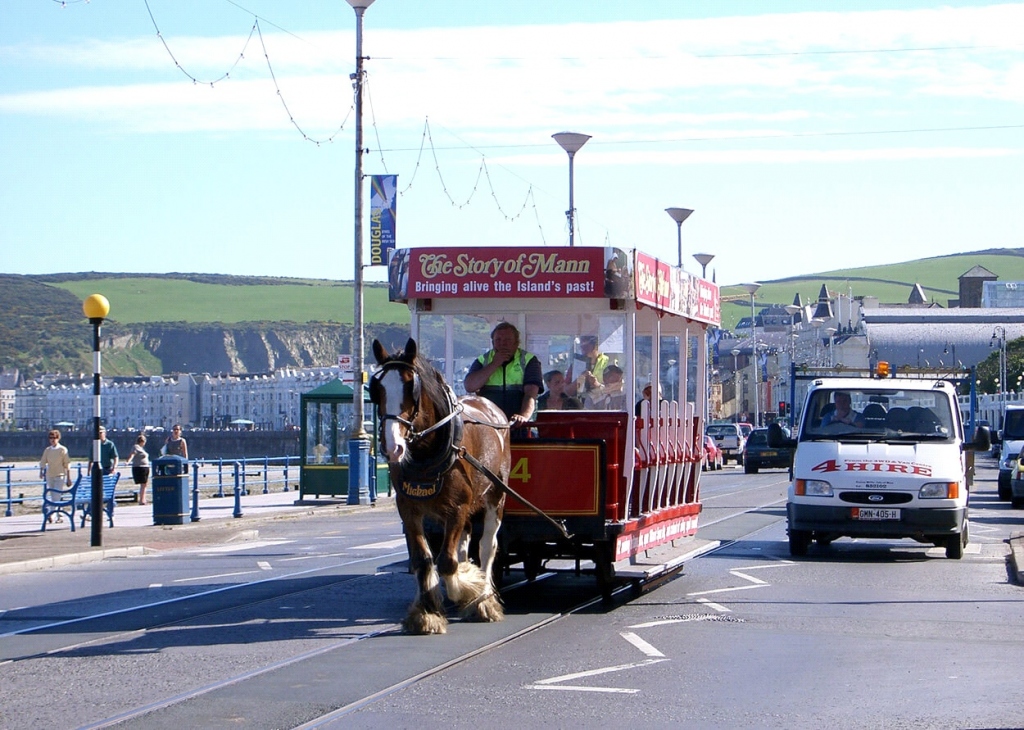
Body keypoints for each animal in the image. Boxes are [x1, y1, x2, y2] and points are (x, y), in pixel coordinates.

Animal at [370, 337, 509, 630]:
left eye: (411, 386)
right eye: (377, 390)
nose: (393, 448)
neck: (426, 451)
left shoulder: (457, 507)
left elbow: (446, 562)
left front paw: (467, 590)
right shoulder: (409, 508)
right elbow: (423, 559)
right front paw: (427, 612)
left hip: (496, 494)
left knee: (487, 545)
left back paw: (484, 600)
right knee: (465, 542)